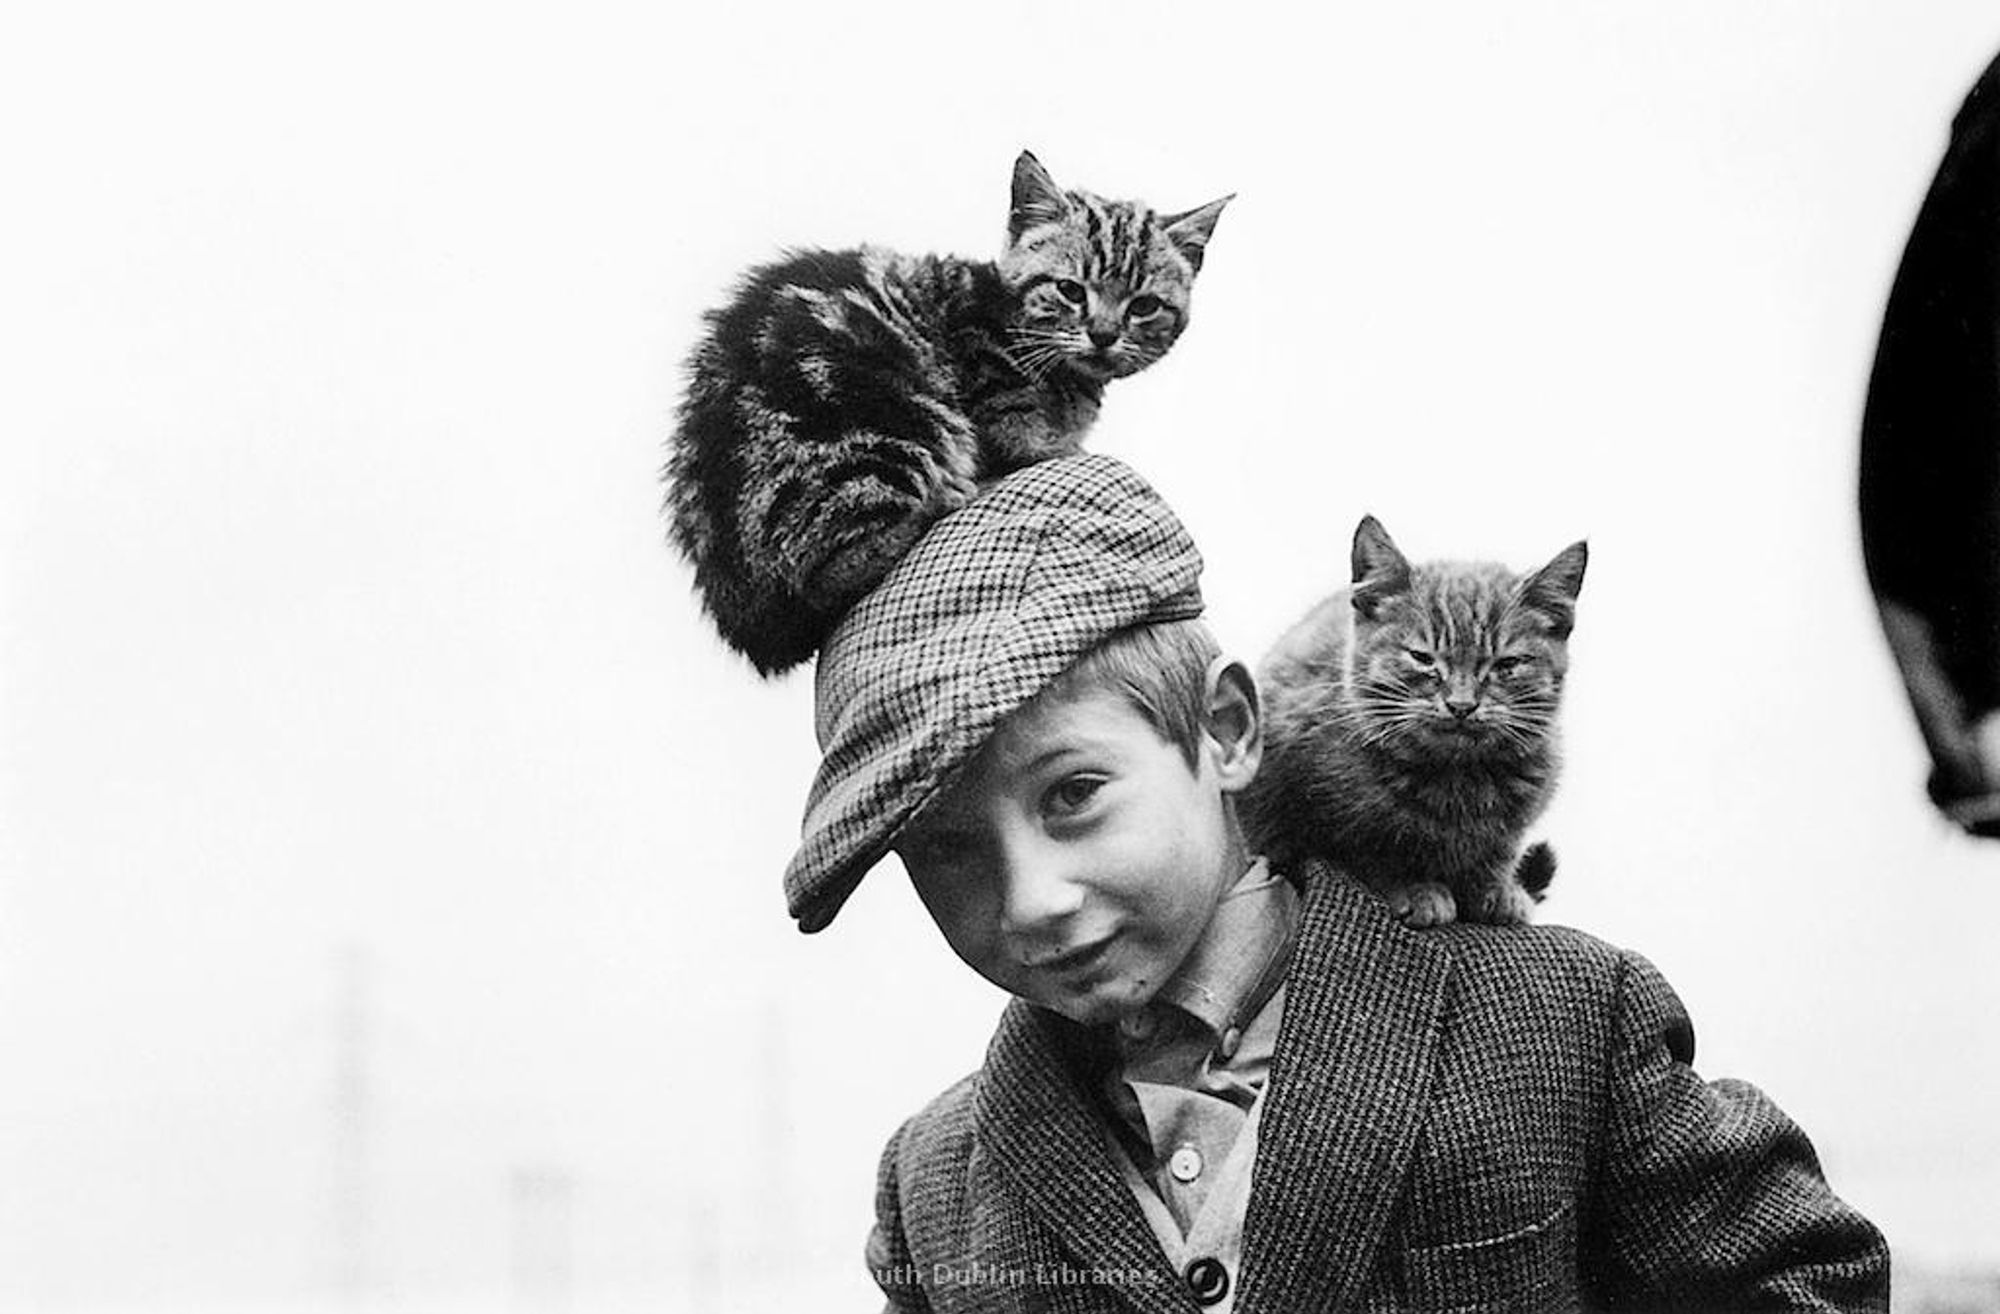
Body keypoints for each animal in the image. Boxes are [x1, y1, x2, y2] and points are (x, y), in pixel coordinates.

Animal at [664, 149, 1224, 672]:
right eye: (1069, 290)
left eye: (1144, 305)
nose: (1104, 335)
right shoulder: (992, 389)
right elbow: (1032, 443)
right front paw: (1062, 451)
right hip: (882, 417)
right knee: (831, 575)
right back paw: (942, 502)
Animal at [1240, 516, 1584, 928]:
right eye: (1422, 658)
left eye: (1507, 664)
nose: (1461, 705)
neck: (1457, 780)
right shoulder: (1311, 809)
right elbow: (1369, 850)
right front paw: (1415, 887)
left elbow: (1499, 849)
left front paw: (1497, 888)